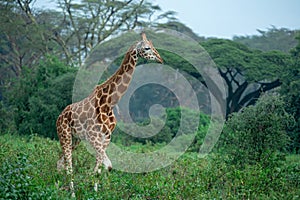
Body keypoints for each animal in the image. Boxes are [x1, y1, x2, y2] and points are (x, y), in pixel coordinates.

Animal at [56, 32, 164, 195]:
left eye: (153, 45)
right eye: (146, 48)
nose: (160, 59)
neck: (109, 103)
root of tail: (59, 116)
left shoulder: (106, 137)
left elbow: (102, 167)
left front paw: (97, 192)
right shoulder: (94, 136)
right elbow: (105, 165)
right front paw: (93, 191)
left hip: (76, 139)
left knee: (60, 162)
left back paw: (59, 187)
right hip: (65, 135)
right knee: (68, 165)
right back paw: (72, 193)